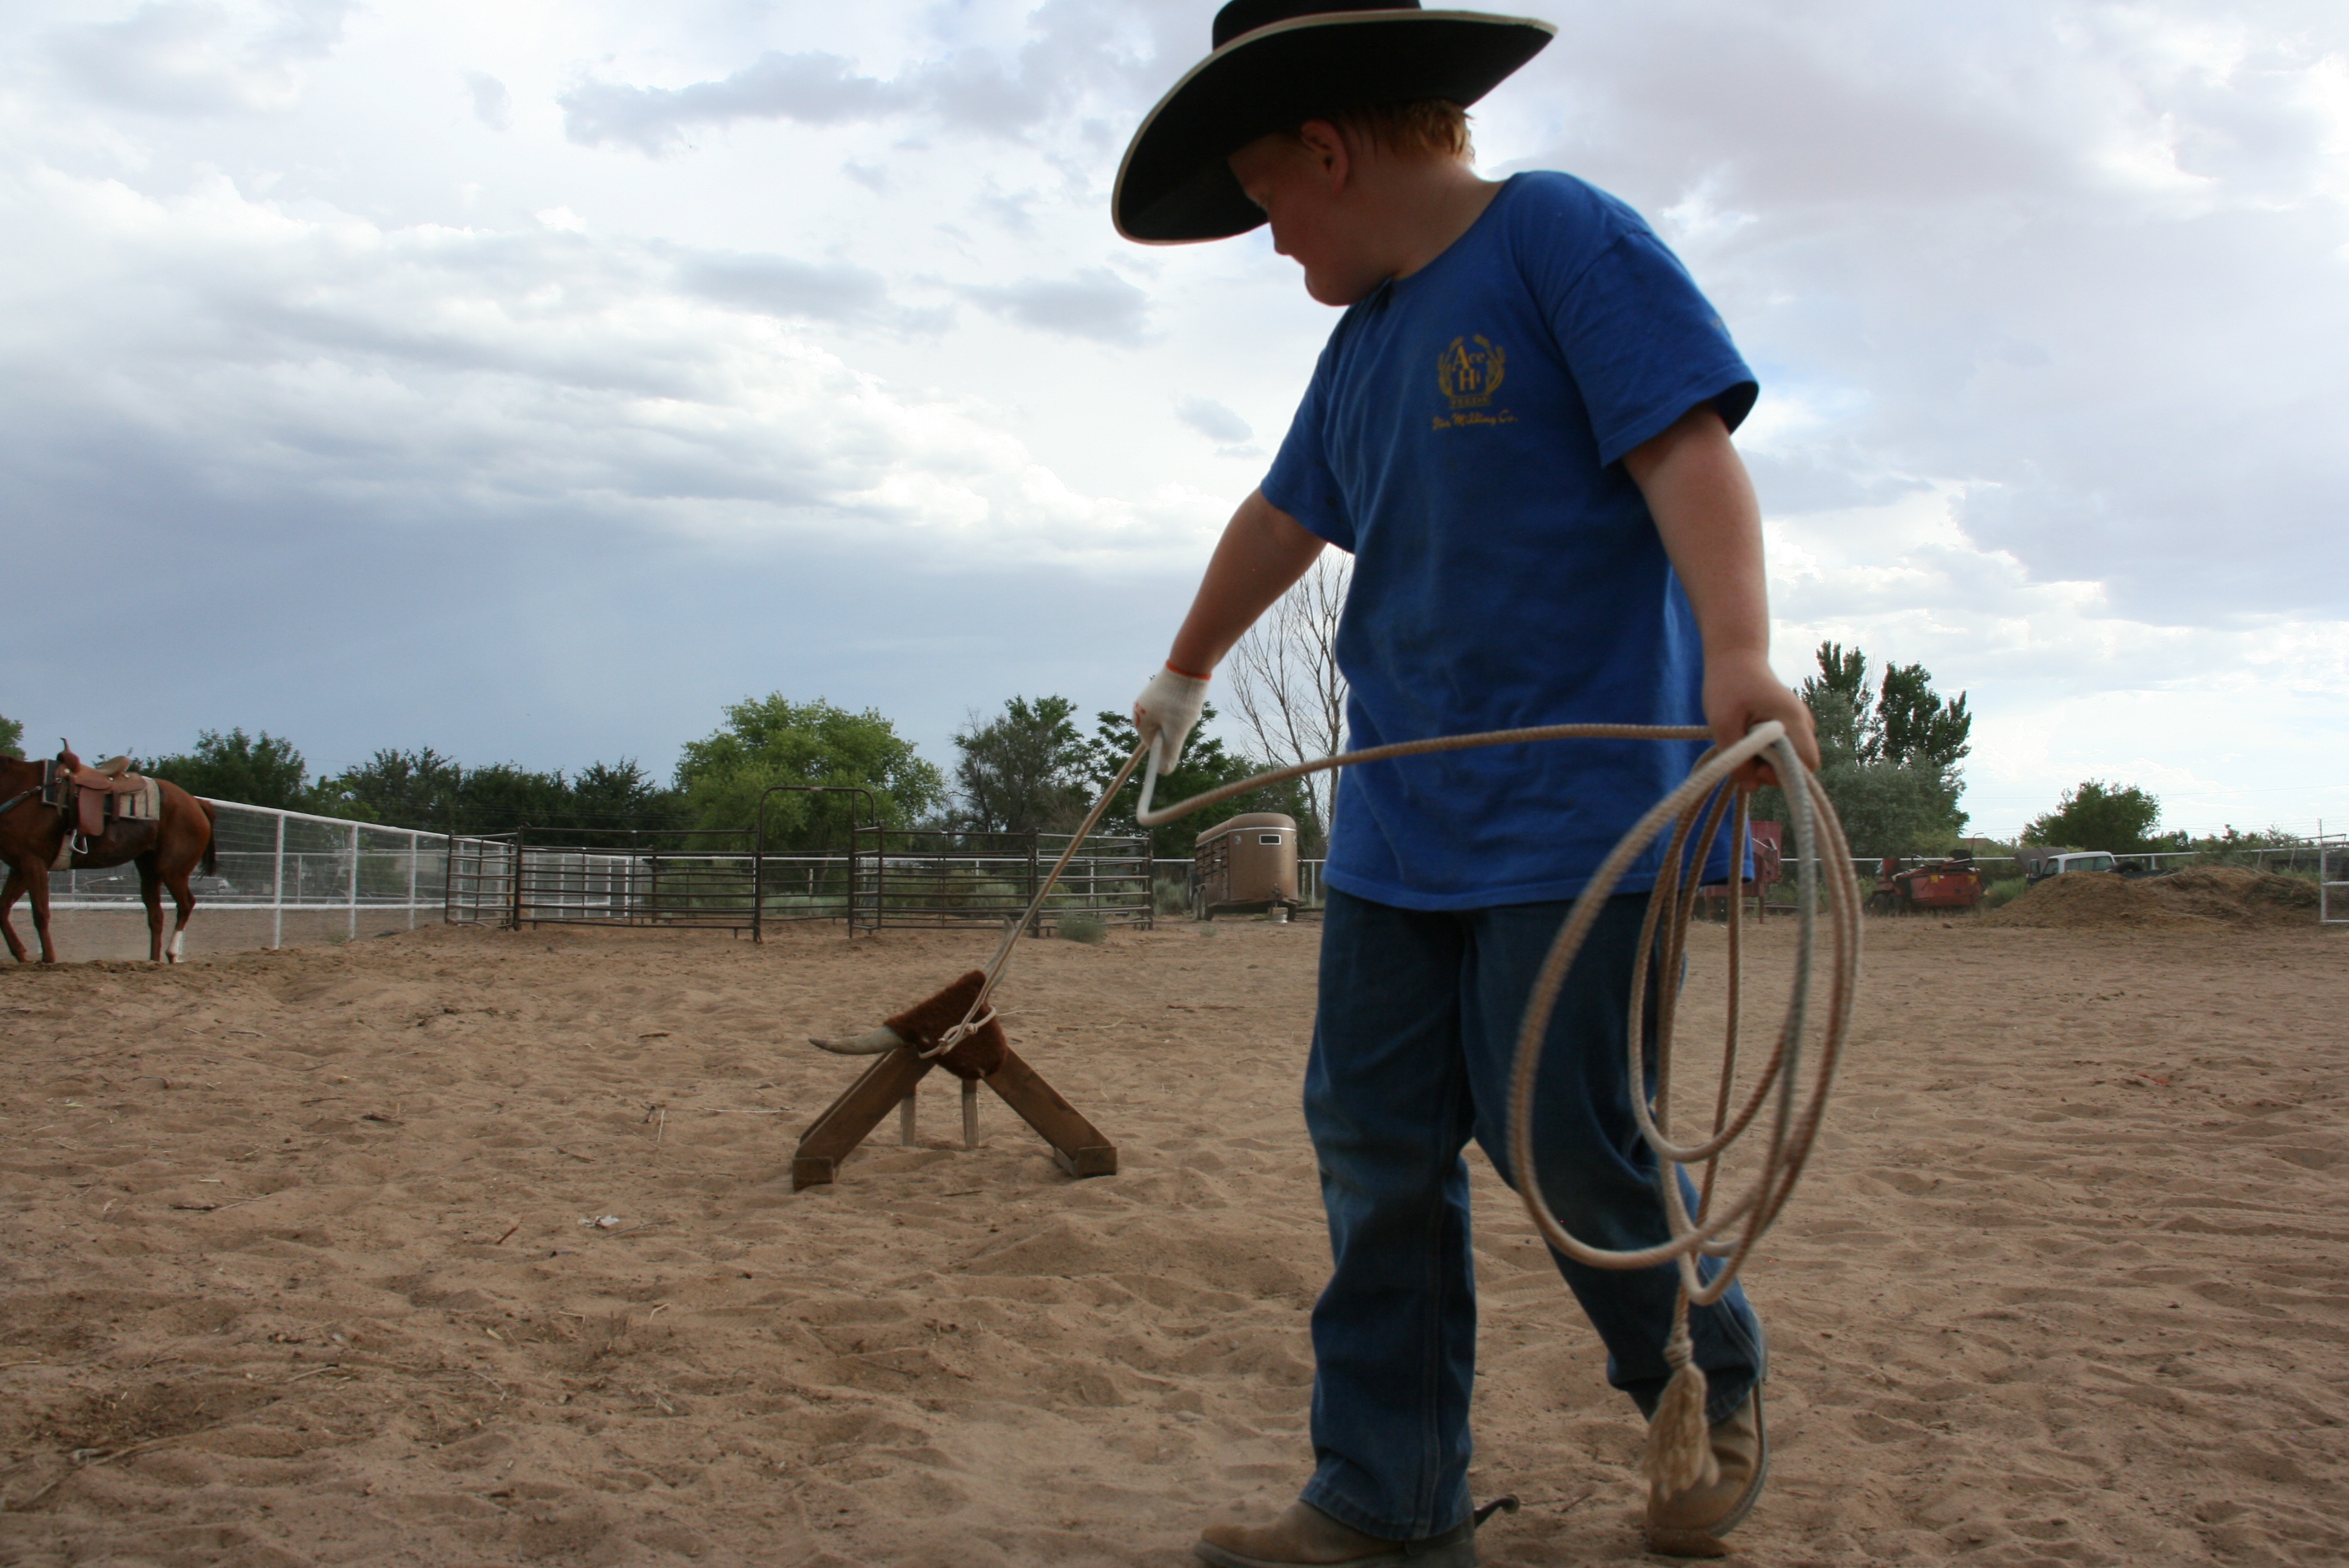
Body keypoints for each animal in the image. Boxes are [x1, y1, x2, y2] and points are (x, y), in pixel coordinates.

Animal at [0, 745, 220, 964]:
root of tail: (196, 804)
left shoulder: (33, 862)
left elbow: (40, 913)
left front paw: (48, 959)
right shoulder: (20, 867)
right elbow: (3, 908)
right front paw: (20, 953)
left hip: (173, 870)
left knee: (186, 904)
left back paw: (172, 953)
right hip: (149, 869)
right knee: (156, 915)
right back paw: (153, 960)